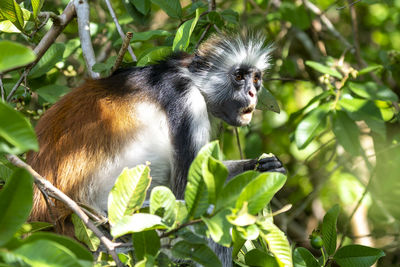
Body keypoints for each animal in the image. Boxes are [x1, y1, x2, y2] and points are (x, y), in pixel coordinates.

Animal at [27, 32, 284, 266]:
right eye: (239, 76)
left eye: (256, 79)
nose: (252, 92)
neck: (187, 76)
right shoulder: (185, 101)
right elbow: (190, 201)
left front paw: (265, 167)